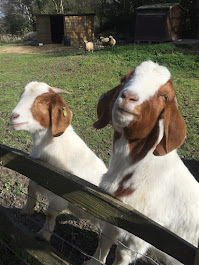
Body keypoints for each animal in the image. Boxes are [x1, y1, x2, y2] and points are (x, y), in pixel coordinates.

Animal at [84, 60, 199, 264]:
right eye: (123, 79)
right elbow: (105, 240)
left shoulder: (138, 234)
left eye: (164, 96)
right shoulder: (110, 209)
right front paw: (93, 262)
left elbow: (121, 256)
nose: (128, 97)